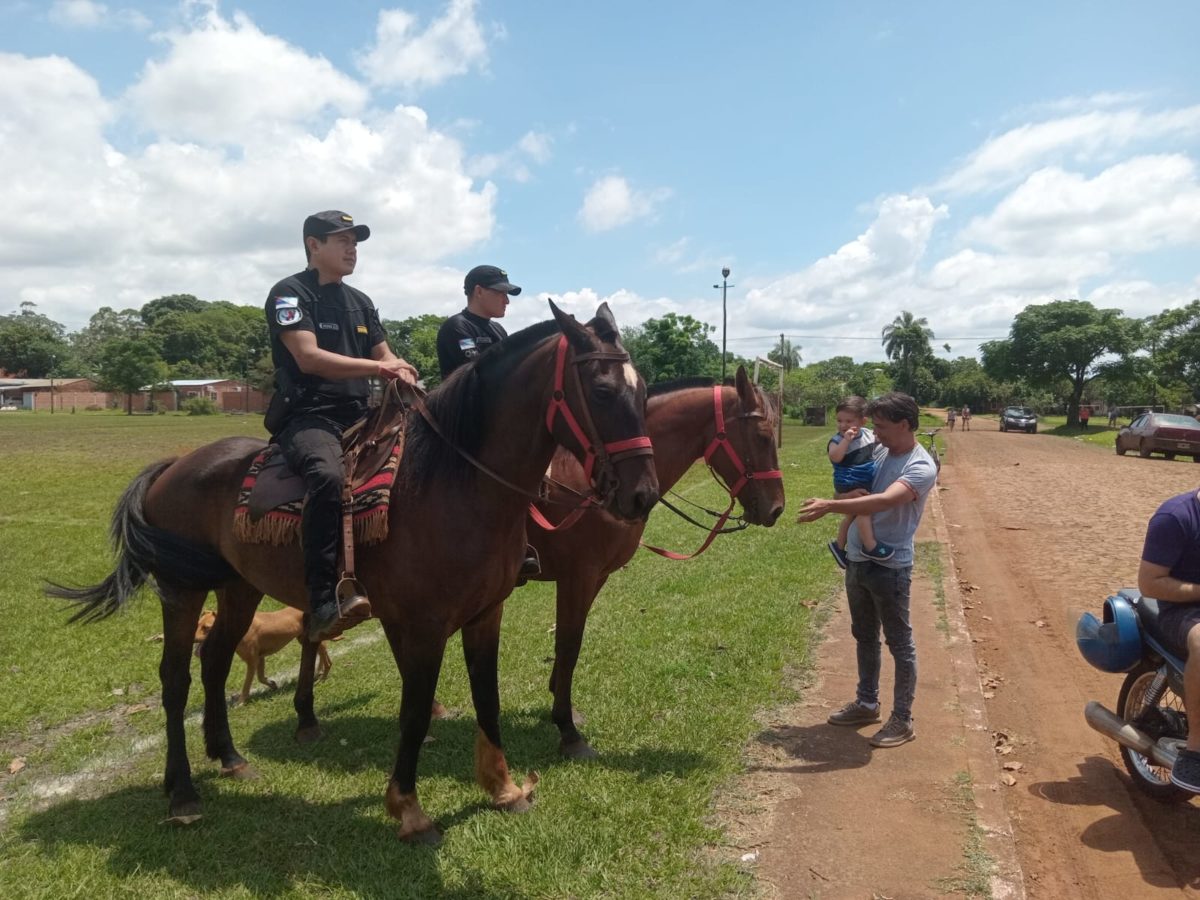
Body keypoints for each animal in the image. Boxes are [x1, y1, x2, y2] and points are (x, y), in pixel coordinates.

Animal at [194, 607, 333, 705]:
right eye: (197, 625)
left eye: (206, 627)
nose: (192, 639)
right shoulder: (260, 658)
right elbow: (261, 678)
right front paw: (272, 684)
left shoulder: (252, 661)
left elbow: (246, 685)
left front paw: (241, 702)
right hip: (305, 640)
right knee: (323, 656)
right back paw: (318, 672)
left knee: (328, 662)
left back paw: (322, 679)